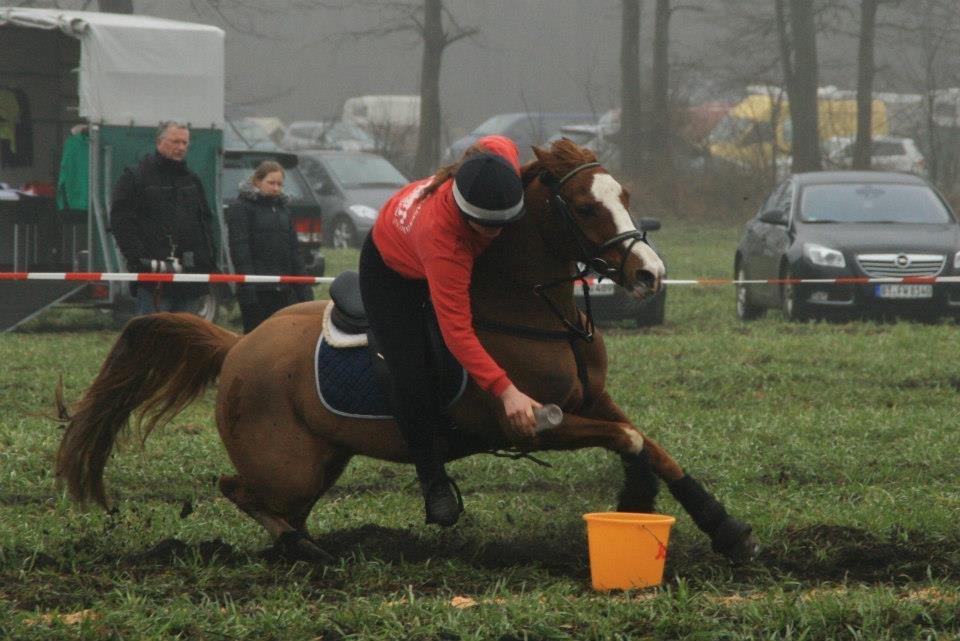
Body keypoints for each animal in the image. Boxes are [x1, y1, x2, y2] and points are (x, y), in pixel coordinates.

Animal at [56, 141, 756, 564]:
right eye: (586, 206)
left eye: (626, 197)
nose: (649, 274)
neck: (534, 310)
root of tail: (238, 345)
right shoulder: (530, 424)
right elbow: (628, 438)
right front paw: (641, 497)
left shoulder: (594, 397)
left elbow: (649, 443)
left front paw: (723, 527)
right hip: (286, 464)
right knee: (237, 488)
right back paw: (301, 551)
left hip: (321, 457)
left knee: (272, 500)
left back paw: (301, 544)